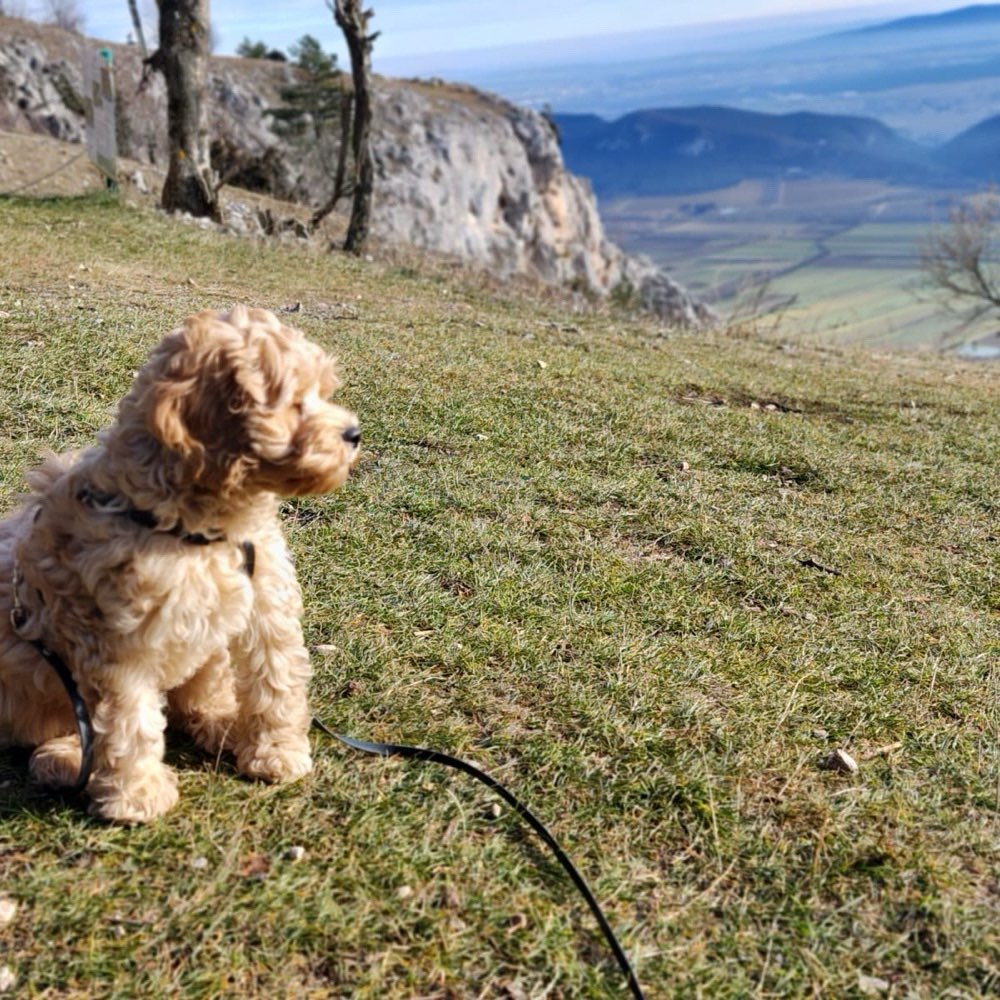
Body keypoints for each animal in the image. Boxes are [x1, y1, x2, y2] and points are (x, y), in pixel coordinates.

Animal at [0, 308, 362, 824]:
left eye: (321, 391)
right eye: (294, 402)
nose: (354, 435)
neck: (195, 530)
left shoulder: (266, 602)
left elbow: (276, 679)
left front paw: (278, 754)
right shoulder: (118, 641)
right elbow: (128, 719)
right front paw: (136, 797)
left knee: (201, 692)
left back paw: (224, 722)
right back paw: (65, 759)